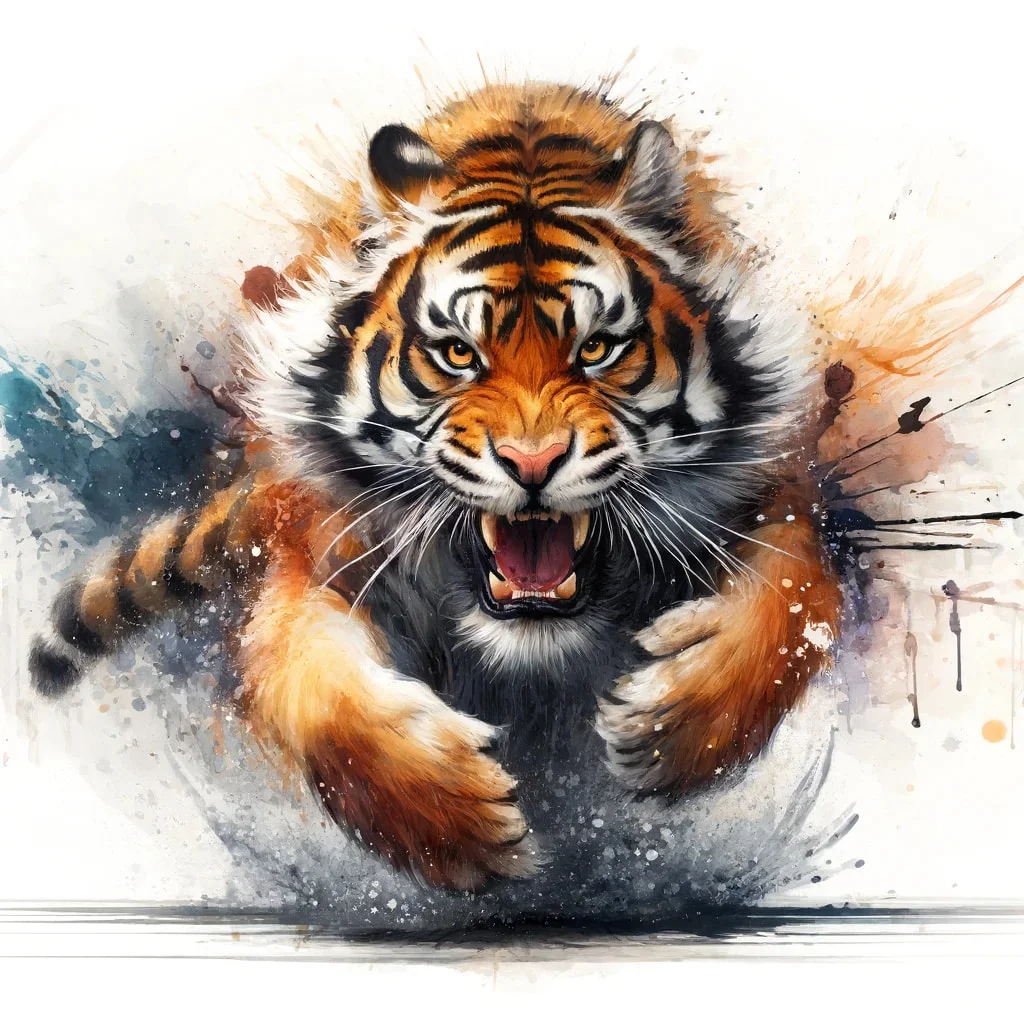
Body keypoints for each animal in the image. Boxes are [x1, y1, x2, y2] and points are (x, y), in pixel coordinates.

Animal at [28, 82, 842, 891]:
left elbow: (795, 606)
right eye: (457, 353)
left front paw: (666, 732)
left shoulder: (773, 498)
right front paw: (460, 828)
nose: (533, 462)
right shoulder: (322, 558)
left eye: (597, 349)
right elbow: (316, 693)